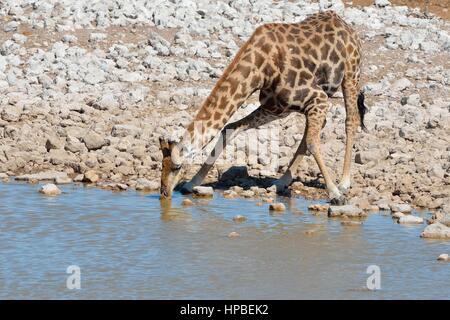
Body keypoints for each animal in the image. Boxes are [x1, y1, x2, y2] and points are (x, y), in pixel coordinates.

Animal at [160, 11, 368, 204]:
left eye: (177, 167)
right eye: (162, 164)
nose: (164, 192)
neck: (261, 69)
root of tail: (344, 23)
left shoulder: (318, 98)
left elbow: (312, 142)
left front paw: (335, 194)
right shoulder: (276, 108)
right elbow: (230, 128)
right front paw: (191, 184)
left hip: (351, 74)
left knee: (351, 121)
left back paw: (344, 183)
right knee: (313, 131)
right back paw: (281, 182)